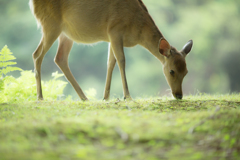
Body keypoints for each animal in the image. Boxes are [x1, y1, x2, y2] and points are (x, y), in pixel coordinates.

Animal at [28, 0, 193, 100]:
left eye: (186, 72)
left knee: (60, 58)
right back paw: (40, 97)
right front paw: (127, 96)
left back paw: (84, 97)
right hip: (50, 24)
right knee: (37, 55)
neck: (138, 30)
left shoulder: (112, 37)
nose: (179, 95)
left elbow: (110, 63)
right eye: (171, 71)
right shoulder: (115, 30)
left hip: (66, 33)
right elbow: (121, 61)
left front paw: (105, 97)